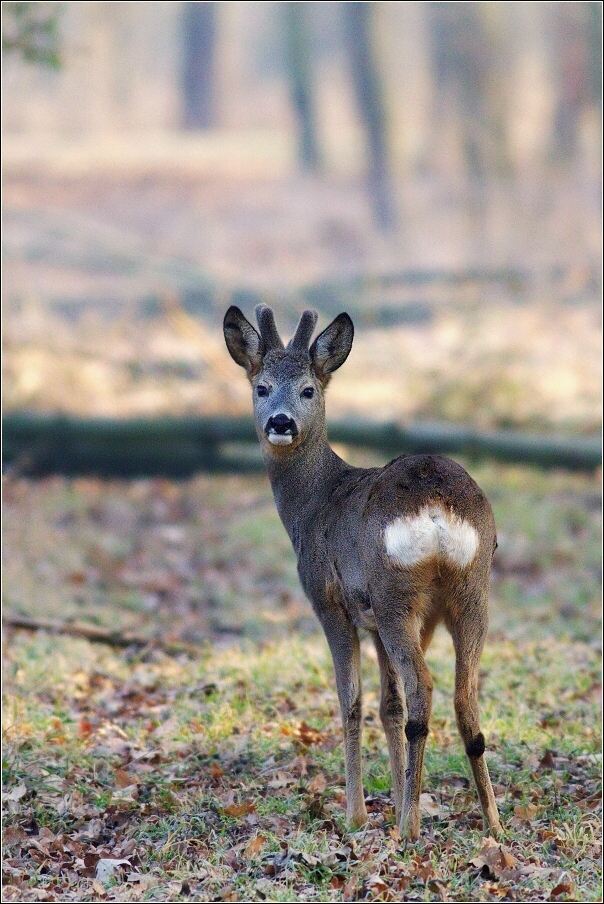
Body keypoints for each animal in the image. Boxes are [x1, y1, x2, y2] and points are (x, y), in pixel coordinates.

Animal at [224, 306, 502, 840]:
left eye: (308, 389)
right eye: (261, 387)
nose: (280, 422)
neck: (313, 504)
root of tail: (436, 508)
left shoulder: (331, 601)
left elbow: (350, 700)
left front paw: (356, 815)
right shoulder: (374, 619)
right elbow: (387, 706)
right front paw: (396, 801)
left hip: (395, 593)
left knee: (424, 689)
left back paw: (411, 831)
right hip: (468, 591)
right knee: (464, 697)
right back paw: (491, 825)